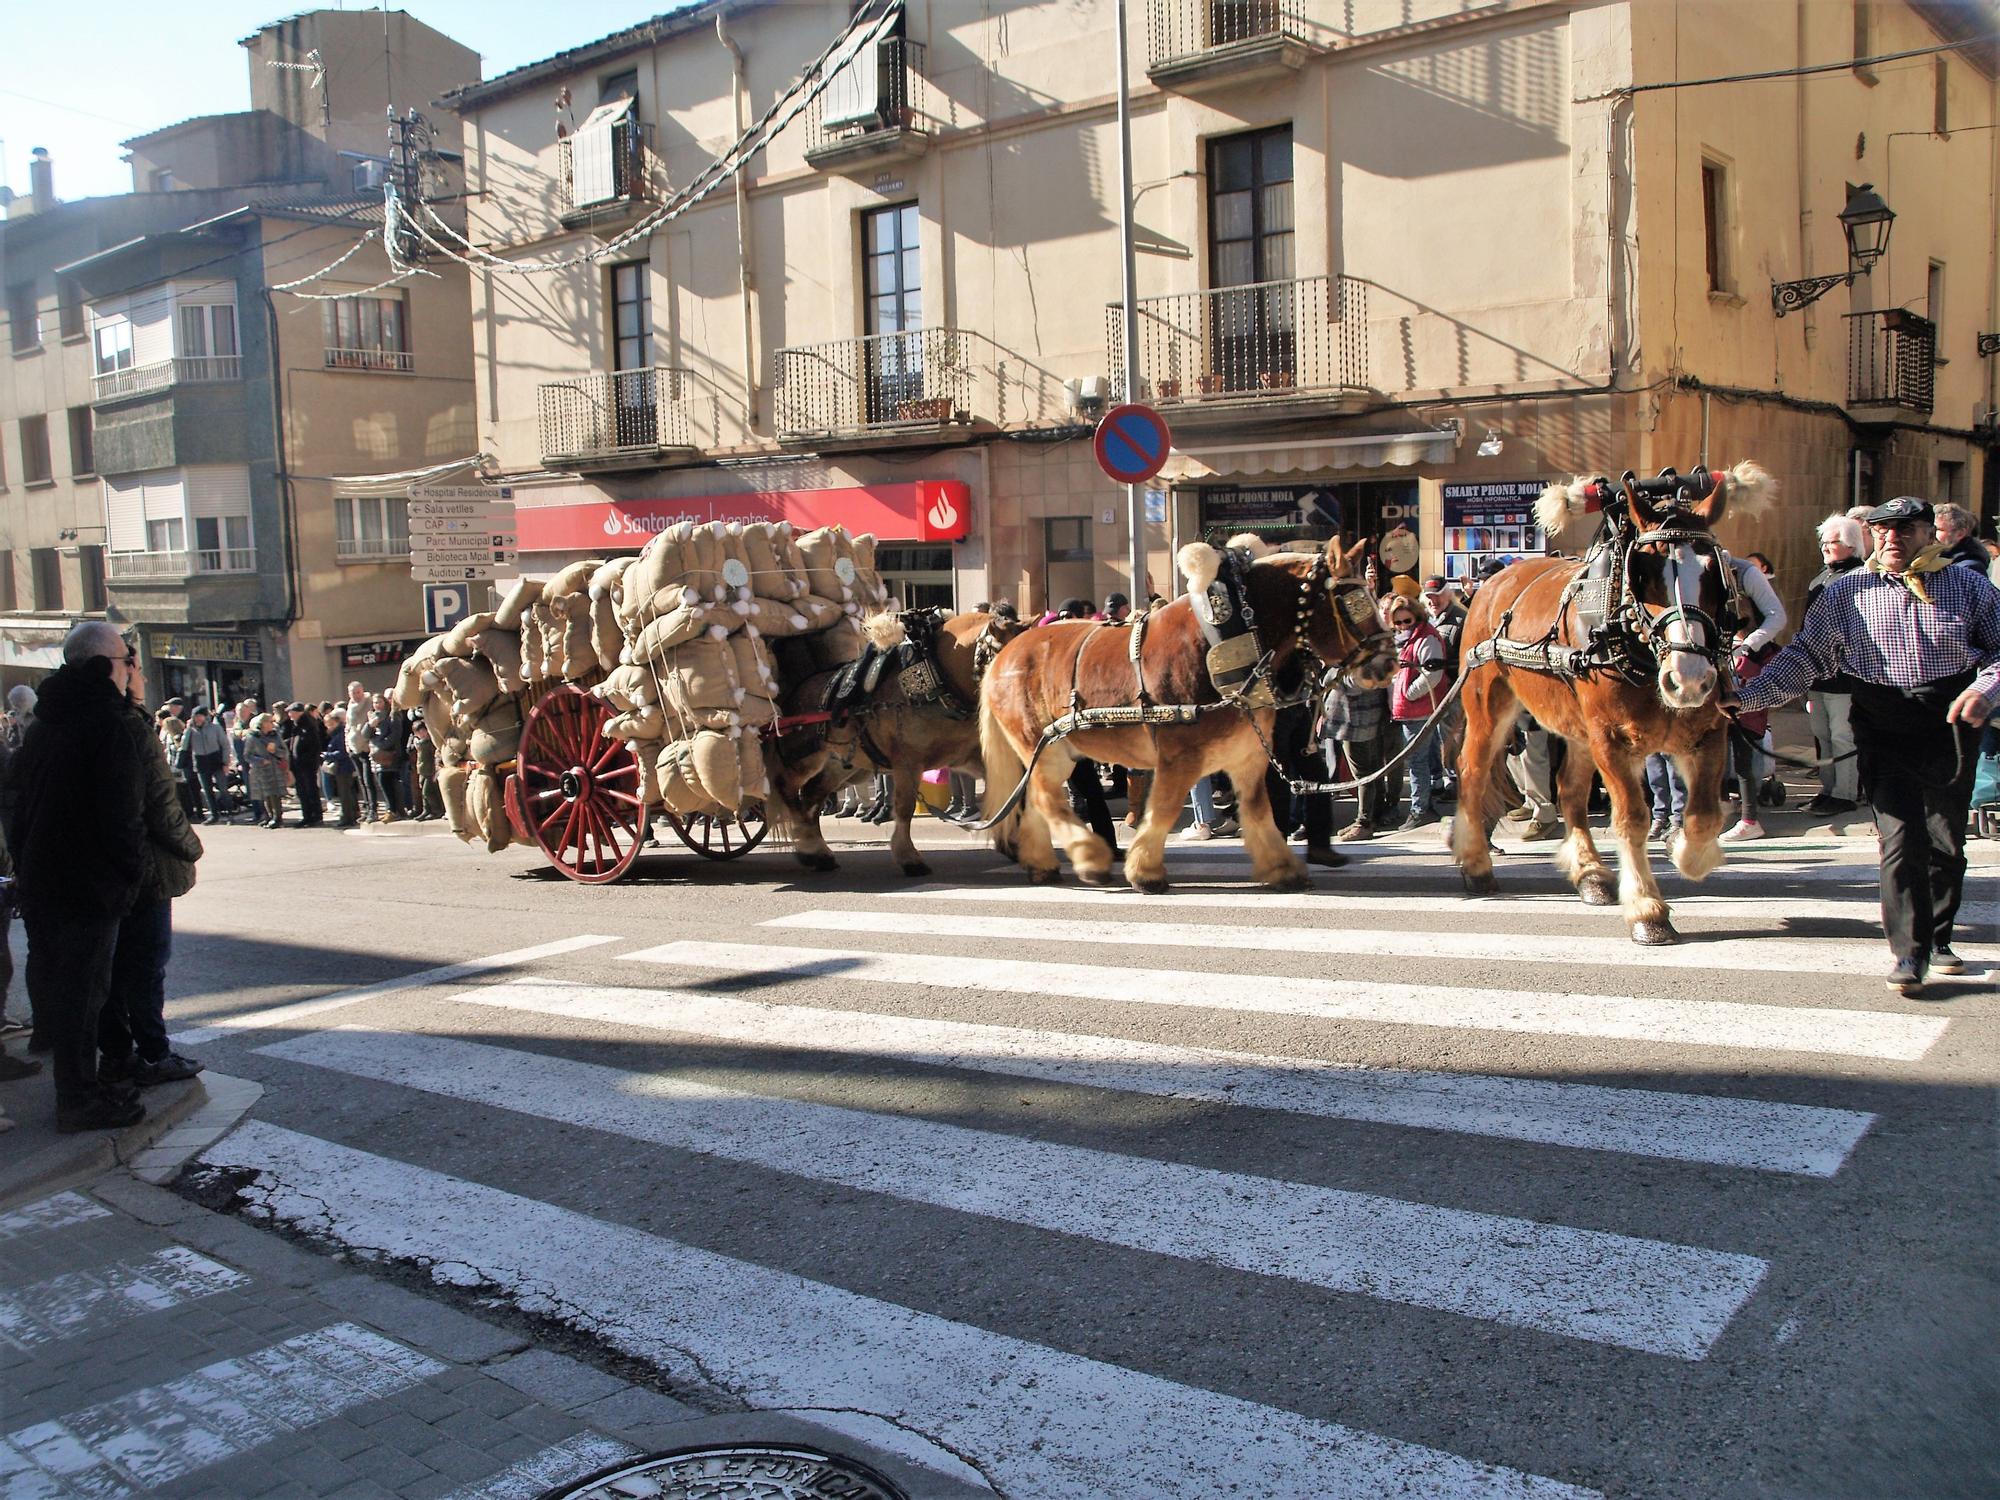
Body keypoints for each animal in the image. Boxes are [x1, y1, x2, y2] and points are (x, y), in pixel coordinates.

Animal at [760, 608, 1024, 876]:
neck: (937, 677)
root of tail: (793, 694)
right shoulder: (907, 763)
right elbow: (904, 807)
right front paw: (909, 857)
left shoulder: (970, 757)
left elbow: (1013, 792)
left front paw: (1014, 842)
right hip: (802, 759)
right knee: (788, 789)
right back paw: (808, 845)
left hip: (843, 765)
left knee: (811, 796)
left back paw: (820, 853)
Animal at [980, 540, 1392, 892]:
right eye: (1350, 601)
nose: (1388, 664)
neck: (1225, 638)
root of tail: (1003, 656)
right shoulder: (1179, 756)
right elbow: (1163, 809)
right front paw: (1145, 873)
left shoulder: (1247, 755)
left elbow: (1257, 811)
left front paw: (1282, 868)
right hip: (1043, 747)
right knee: (1047, 798)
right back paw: (1091, 857)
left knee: (1035, 799)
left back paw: (1043, 864)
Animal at [1456, 464, 1768, 944]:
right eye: (1647, 571)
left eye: (1714, 572)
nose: (1689, 680)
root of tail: (1495, 582)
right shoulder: (1612, 739)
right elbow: (1632, 818)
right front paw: (1647, 910)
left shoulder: (1709, 733)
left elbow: (1703, 816)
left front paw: (1684, 850)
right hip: (1489, 709)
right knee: (1472, 772)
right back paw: (1475, 865)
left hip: (1577, 729)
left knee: (1569, 791)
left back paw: (1591, 874)